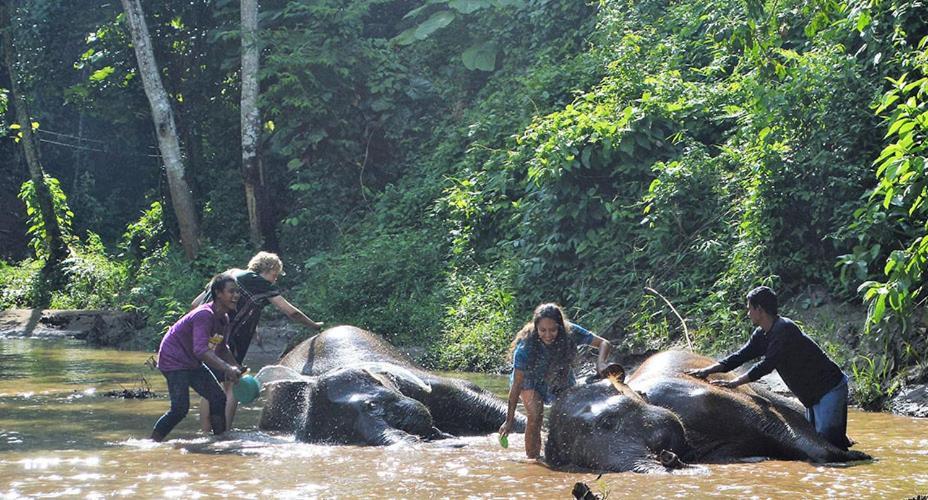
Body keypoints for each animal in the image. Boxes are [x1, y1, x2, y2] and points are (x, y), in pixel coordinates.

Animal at [544, 350, 872, 470]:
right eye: (574, 459)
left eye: (607, 422)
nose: (668, 458)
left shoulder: (706, 397)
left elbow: (773, 423)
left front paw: (857, 458)